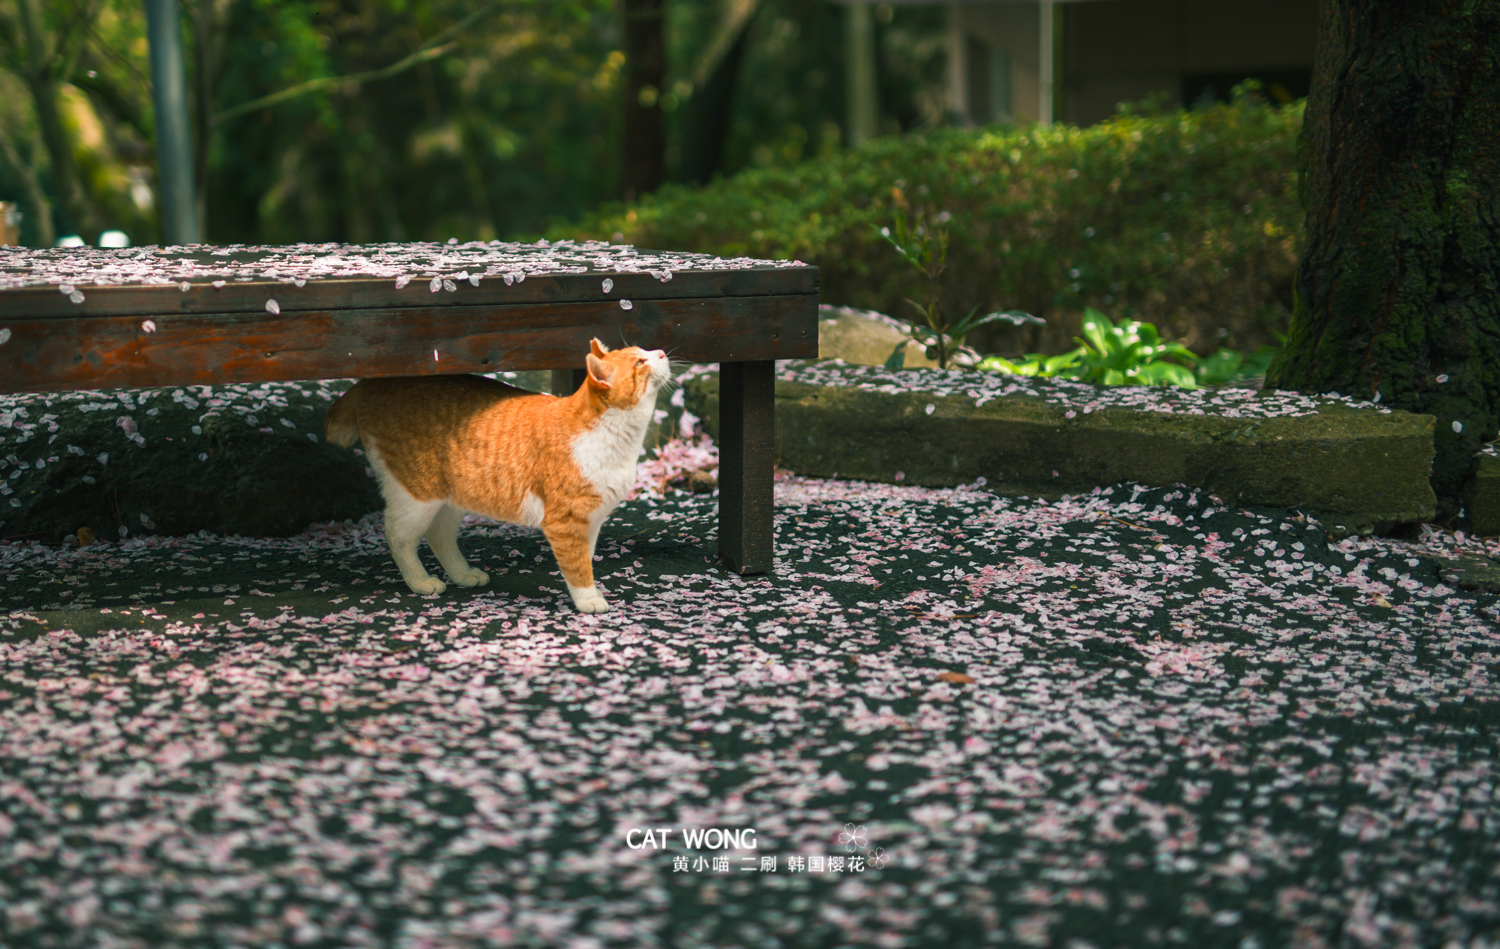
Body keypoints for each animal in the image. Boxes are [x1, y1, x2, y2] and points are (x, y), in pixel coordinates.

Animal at [325, 337, 672, 611]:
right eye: (640, 361)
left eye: (644, 352)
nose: (662, 352)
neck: (617, 437)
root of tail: (373, 381)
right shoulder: (565, 521)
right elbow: (576, 565)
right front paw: (588, 599)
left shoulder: (591, 520)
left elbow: (584, 559)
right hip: (418, 495)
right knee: (398, 537)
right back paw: (420, 581)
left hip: (454, 496)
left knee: (439, 535)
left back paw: (463, 574)